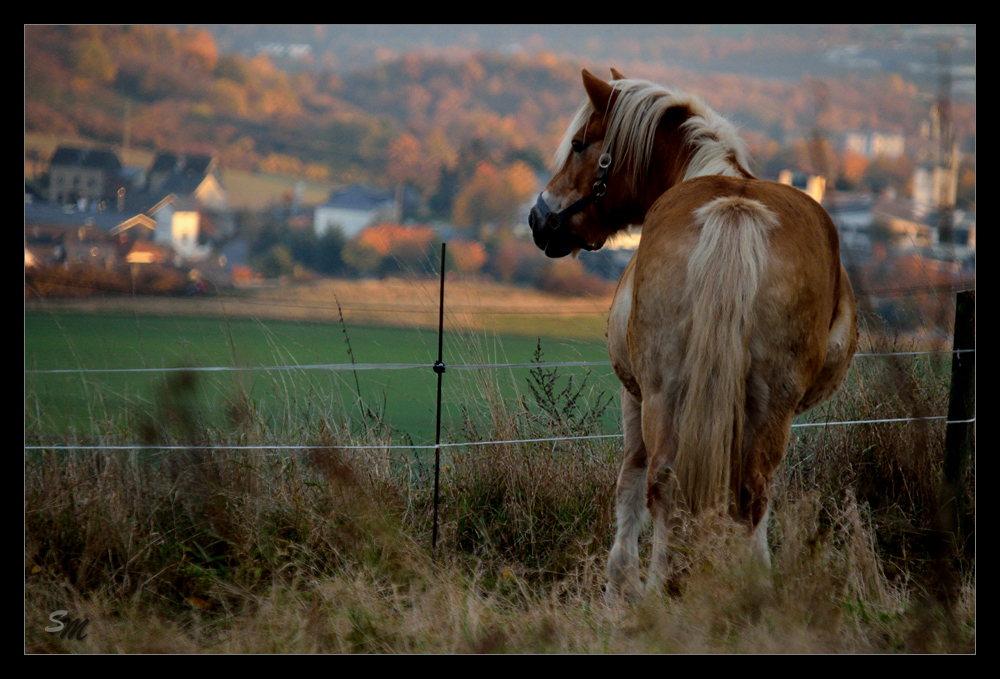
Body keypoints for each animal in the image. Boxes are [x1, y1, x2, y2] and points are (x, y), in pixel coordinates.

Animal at [528, 70, 856, 600]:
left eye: (579, 145)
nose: (539, 220)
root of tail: (734, 210)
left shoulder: (634, 393)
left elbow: (629, 483)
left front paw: (618, 584)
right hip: (770, 405)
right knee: (751, 495)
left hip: (664, 394)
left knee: (662, 486)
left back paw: (654, 592)